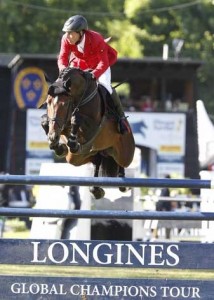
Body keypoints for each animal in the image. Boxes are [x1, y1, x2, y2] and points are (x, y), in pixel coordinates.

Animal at [39, 67, 135, 199]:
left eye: (65, 104)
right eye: (48, 102)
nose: (53, 136)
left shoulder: (92, 129)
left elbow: (76, 118)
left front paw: (71, 142)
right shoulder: (62, 125)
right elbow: (44, 120)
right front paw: (58, 146)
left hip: (125, 153)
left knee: (122, 163)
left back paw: (123, 184)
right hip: (78, 157)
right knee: (97, 161)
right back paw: (96, 190)